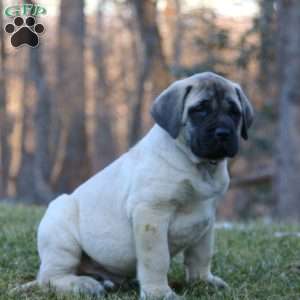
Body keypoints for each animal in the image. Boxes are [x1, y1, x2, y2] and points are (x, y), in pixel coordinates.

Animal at [36, 72, 254, 298]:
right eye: (199, 110)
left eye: (234, 112)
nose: (223, 132)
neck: (199, 166)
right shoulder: (152, 214)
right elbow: (156, 259)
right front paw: (159, 293)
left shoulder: (206, 221)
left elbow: (201, 256)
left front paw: (203, 282)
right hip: (61, 228)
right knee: (51, 277)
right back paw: (82, 284)